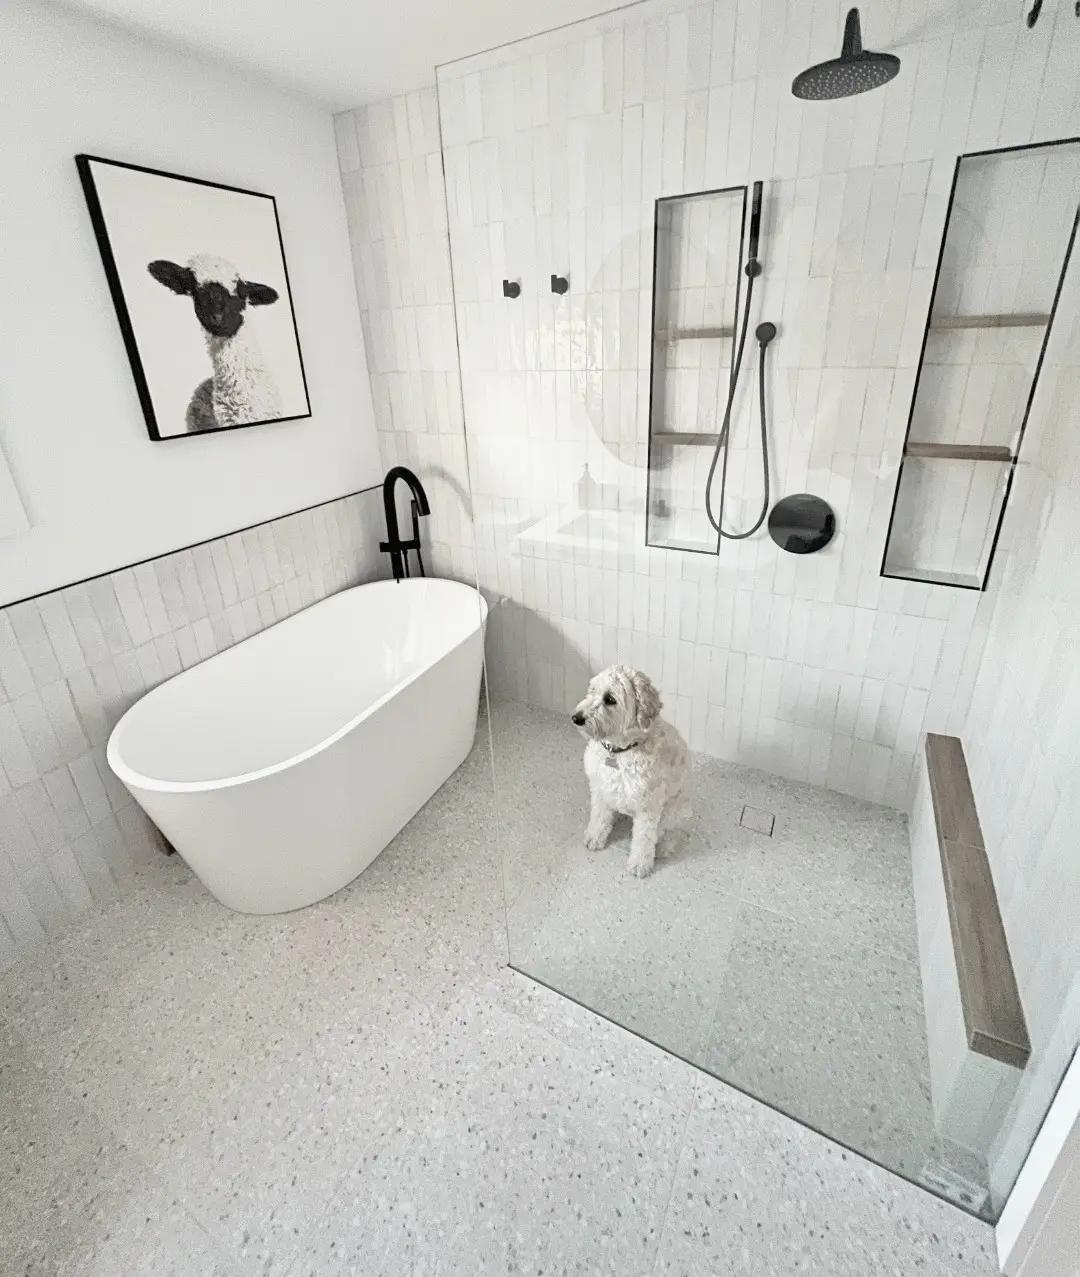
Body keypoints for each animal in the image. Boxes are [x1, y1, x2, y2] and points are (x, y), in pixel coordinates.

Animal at [574, 664, 694, 873]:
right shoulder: (600, 789)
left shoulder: (648, 805)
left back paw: (663, 847)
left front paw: (639, 864)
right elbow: (599, 816)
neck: (618, 751)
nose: (576, 718)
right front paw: (595, 837)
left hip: (674, 808)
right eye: (592, 690)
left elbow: (644, 837)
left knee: (669, 831)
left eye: (610, 699)